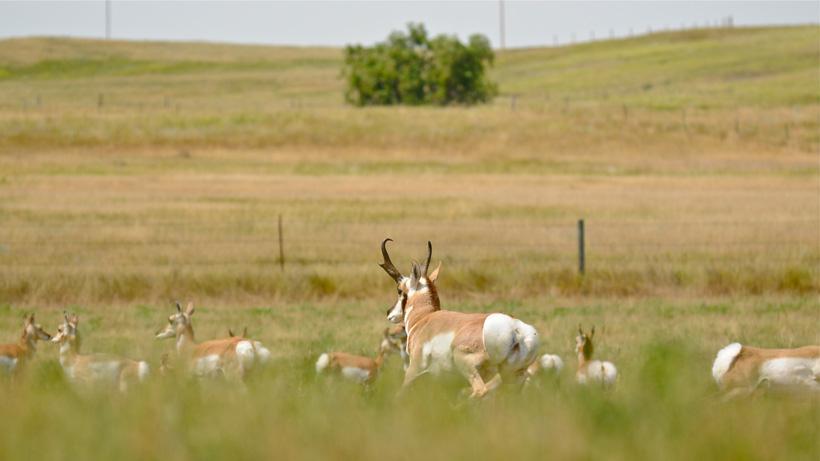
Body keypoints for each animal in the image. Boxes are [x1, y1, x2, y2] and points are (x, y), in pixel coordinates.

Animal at [379, 239, 539, 398]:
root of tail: (516, 329)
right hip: (512, 378)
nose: (389, 312)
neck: (424, 318)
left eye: (399, 290)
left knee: (481, 391)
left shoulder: (414, 369)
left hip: (467, 365)